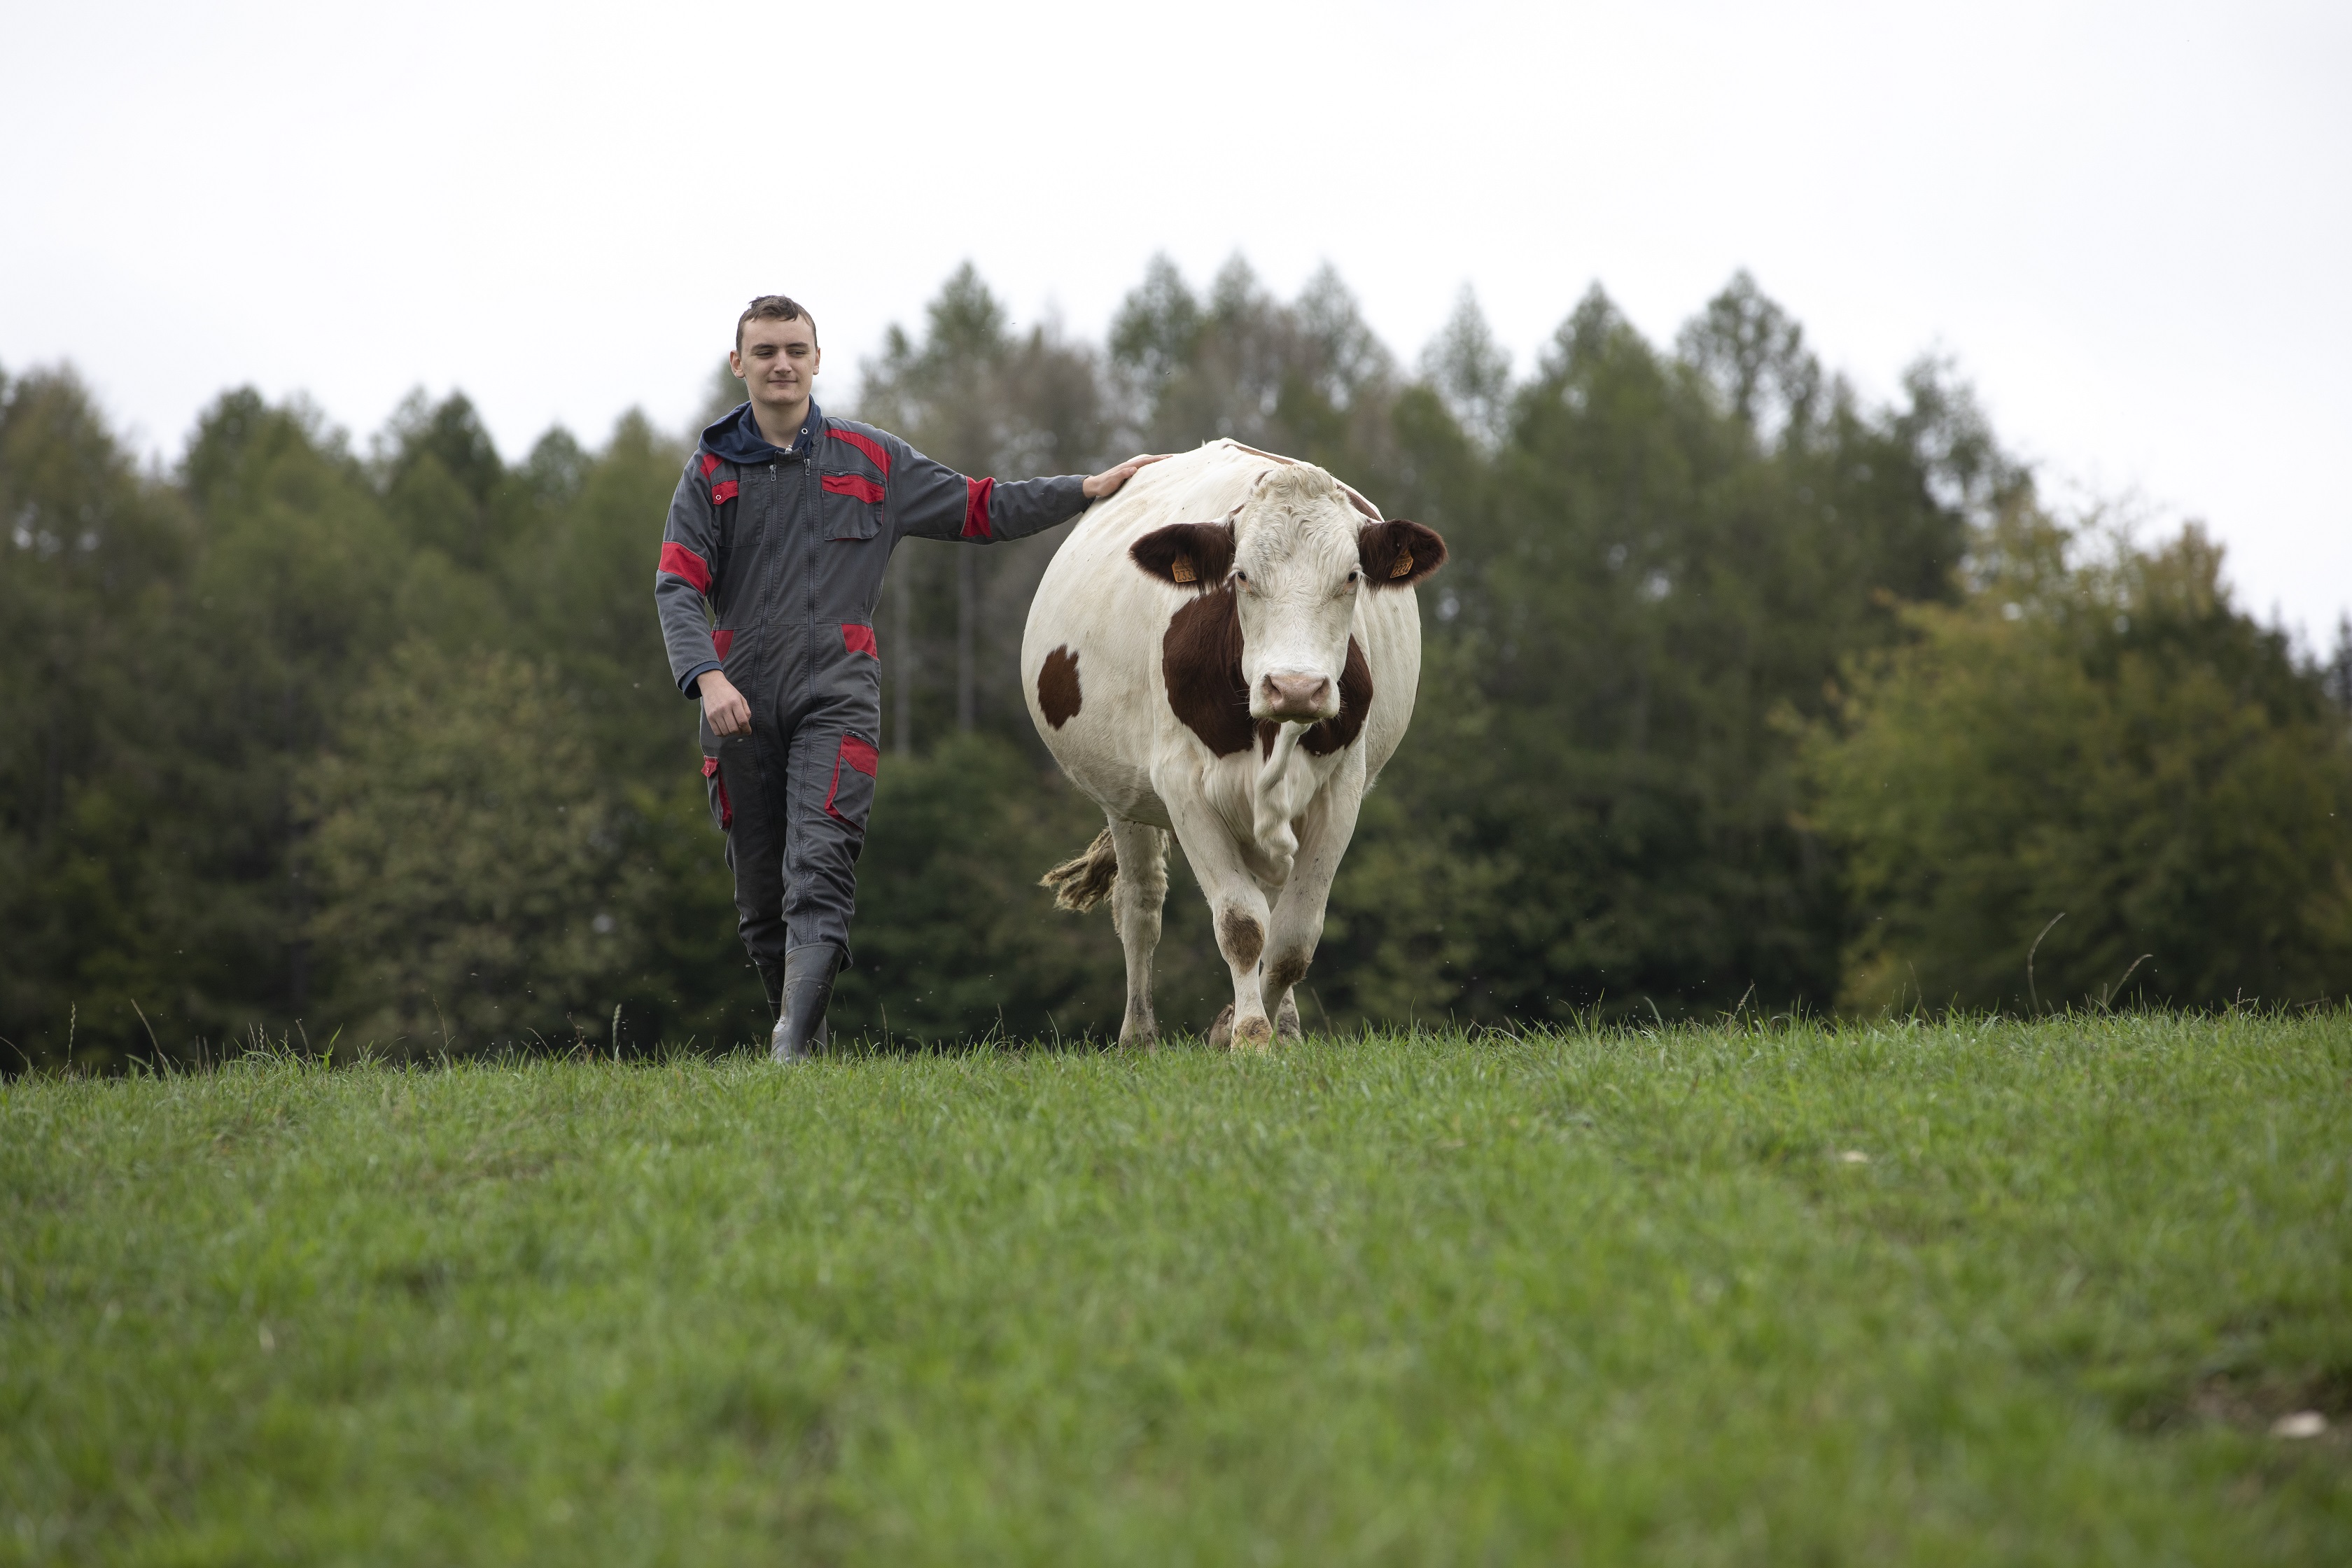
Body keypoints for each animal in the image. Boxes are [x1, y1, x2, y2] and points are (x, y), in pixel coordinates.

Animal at [1021, 442, 1439, 1053]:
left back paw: (1283, 1023)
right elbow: (1242, 925)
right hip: (1124, 798)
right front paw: (1247, 1033)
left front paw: (1247, 1026)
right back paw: (1139, 1036)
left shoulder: (1341, 792)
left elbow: (1292, 939)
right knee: (1140, 905)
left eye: (1351, 576)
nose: (1296, 687)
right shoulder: (1183, 787)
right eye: (1240, 575)